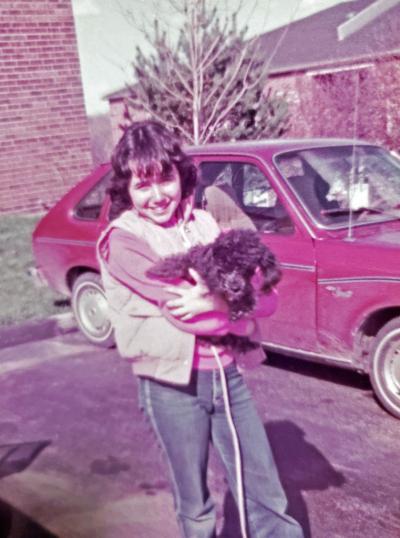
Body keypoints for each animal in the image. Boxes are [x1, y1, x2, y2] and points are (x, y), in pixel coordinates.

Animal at [147, 227, 282, 350]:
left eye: (247, 268)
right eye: (223, 264)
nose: (235, 288)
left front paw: (242, 305)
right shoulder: (195, 260)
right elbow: (182, 261)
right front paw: (158, 270)